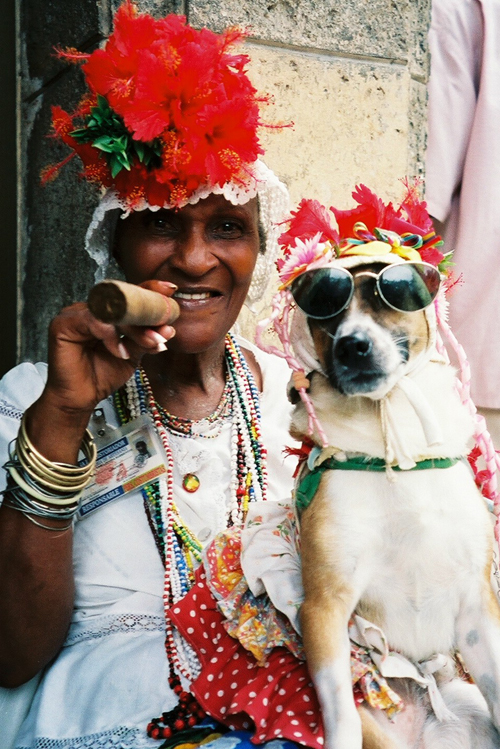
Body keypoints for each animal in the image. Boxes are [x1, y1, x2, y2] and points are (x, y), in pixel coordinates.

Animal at [288, 262, 500, 748]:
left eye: (389, 294)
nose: (352, 345)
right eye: (325, 306)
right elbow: (340, 717)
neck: (395, 454)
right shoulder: (324, 608)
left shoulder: (478, 606)